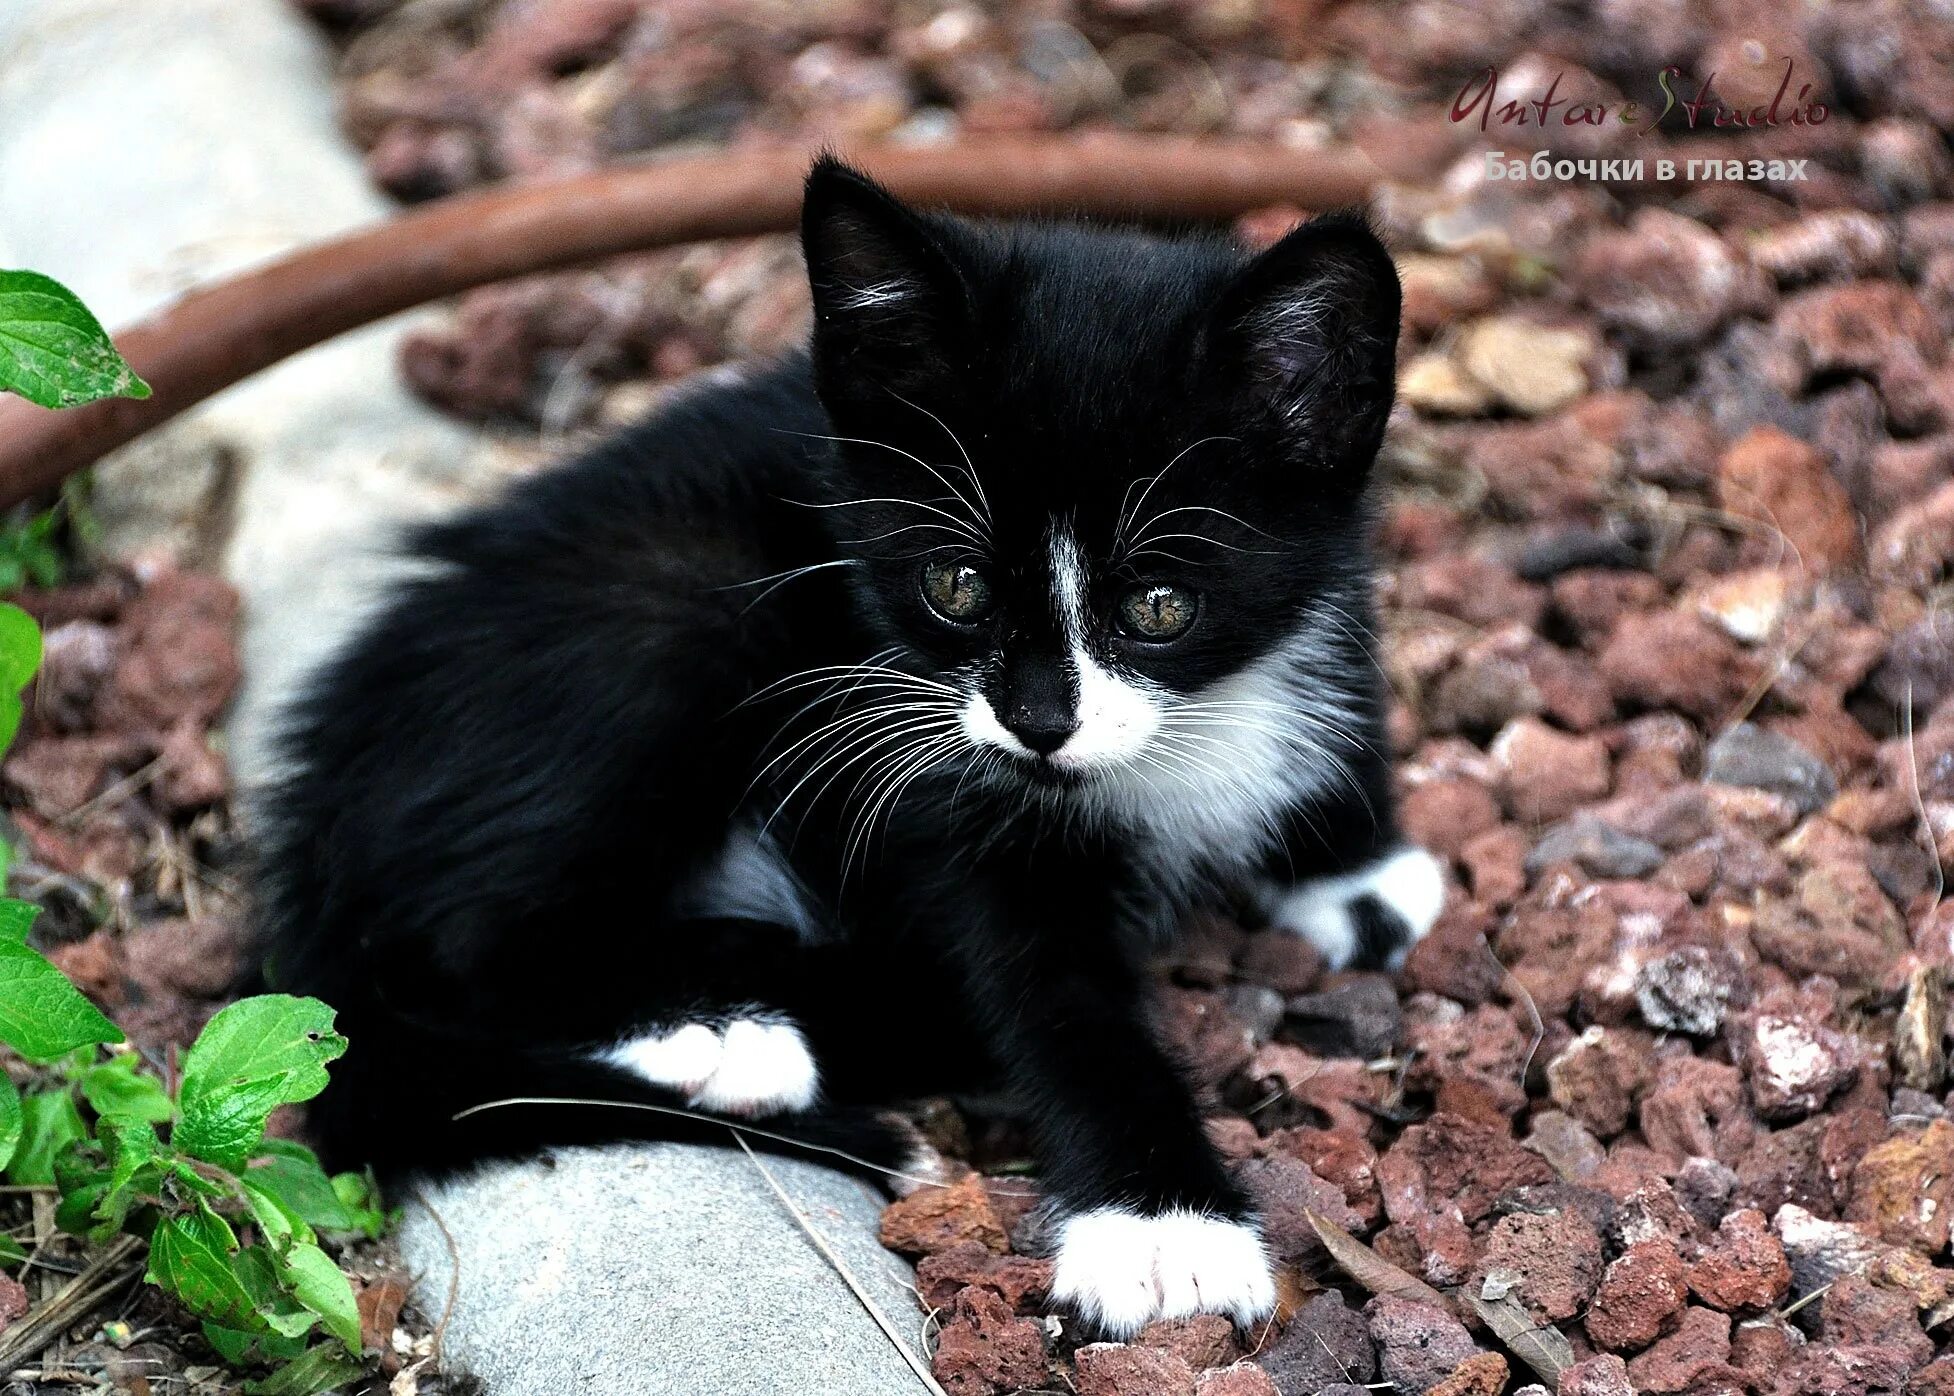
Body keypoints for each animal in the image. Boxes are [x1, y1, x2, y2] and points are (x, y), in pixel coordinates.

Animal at [259, 157, 1445, 1329]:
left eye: (1160, 606)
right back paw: (740, 1026)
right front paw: (1164, 1224)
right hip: (663, 609)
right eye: (954, 585)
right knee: (463, 945)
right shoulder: (936, 783)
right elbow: (1047, 990)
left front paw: (1357, 864)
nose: (1038, 723)